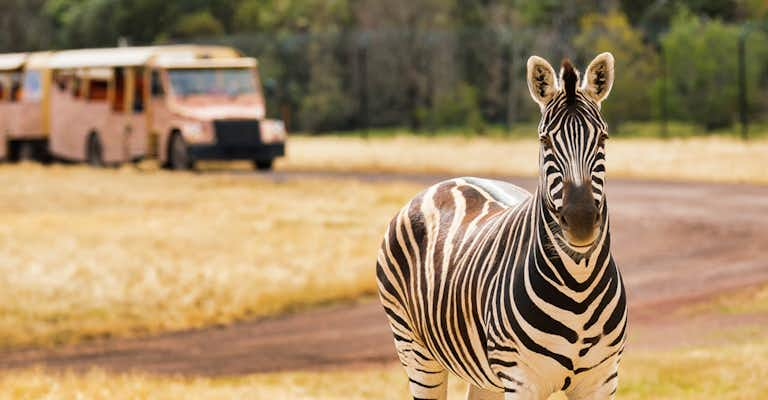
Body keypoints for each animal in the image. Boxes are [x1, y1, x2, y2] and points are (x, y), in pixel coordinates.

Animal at [376, 51, 628, 398]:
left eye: (603, 137)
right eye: (545, 141)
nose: (580, 221)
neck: (579, 282)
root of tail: (448, 182)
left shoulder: (602, 379)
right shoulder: (521, 379)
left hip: (484, 375)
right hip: (415, 352)